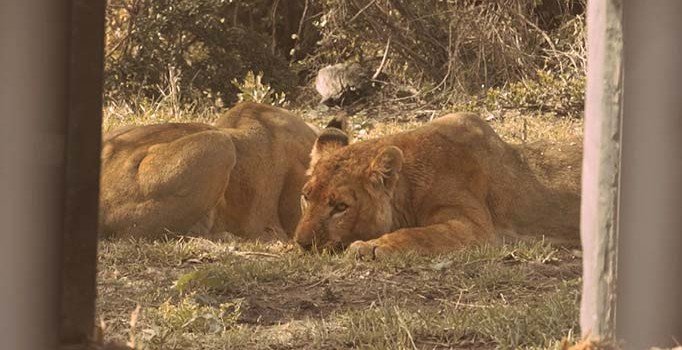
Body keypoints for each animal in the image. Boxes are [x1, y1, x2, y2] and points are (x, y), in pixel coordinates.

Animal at [292, 112, 580, 258]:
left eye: (340, 207)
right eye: (305, 197)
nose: (302, 243)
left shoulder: (474, 226)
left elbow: (419, 234)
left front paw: (372, 247)